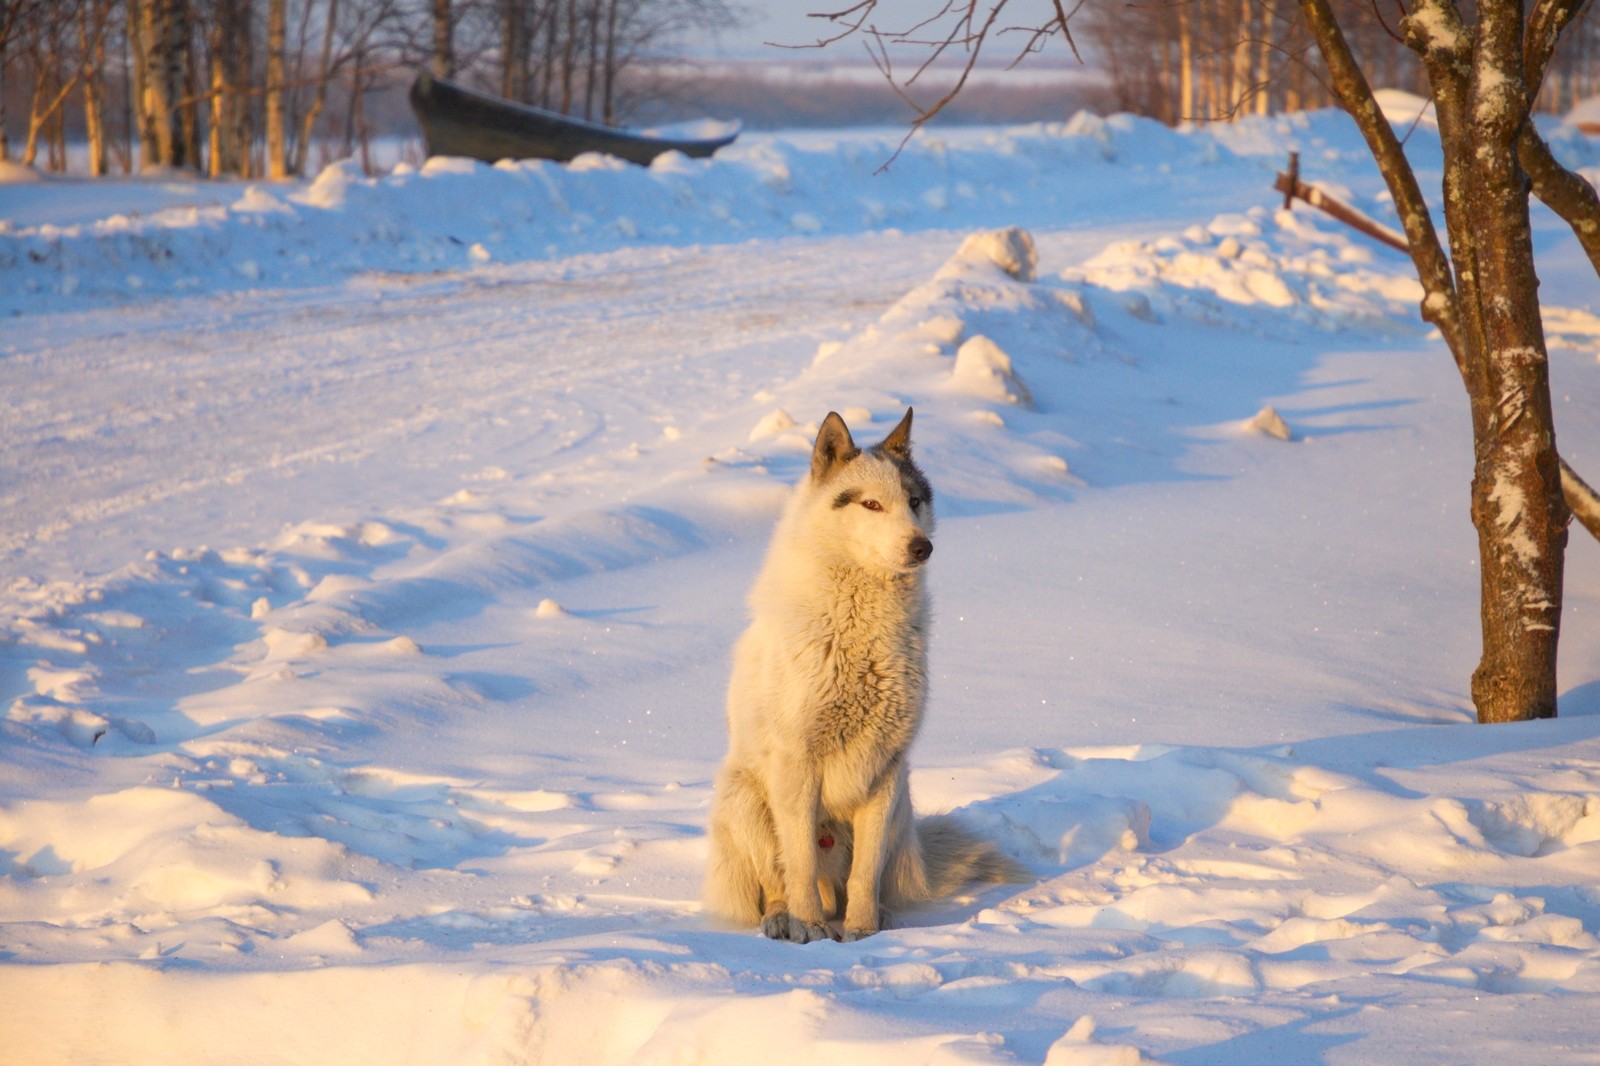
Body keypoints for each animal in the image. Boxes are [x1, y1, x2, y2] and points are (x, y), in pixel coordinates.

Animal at [704, 406, 1024, 941]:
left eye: (913, 502)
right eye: (872, 504)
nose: (922, 547)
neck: (860, 633)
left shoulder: (885, 769)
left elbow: (865, 873)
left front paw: (862, 931)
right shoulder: (797, 767)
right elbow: (799, 866)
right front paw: (810, 930)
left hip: (902, 803)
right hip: (745, 797)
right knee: (777, 881)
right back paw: (782, 920)